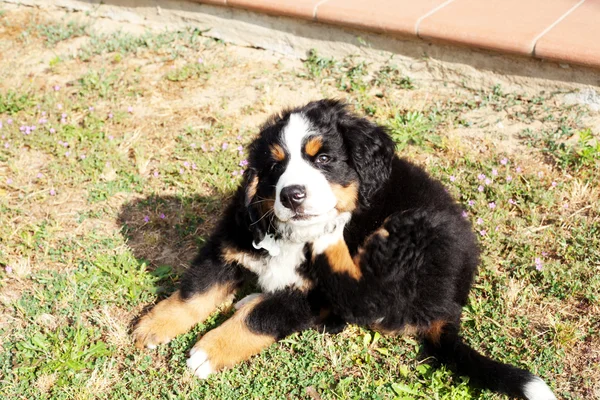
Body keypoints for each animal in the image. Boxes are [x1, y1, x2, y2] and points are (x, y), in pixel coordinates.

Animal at [134, 100, 556, 400]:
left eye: (323, 159)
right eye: (275, 167)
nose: (292, 195)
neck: (295, 235)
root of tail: (450, 306)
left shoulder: (311, 294)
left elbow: (261, 320)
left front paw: (209, 351)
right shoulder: (231, 242)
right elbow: (197, 290)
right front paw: (155, 325)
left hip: (411, 231)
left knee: (366, 301)